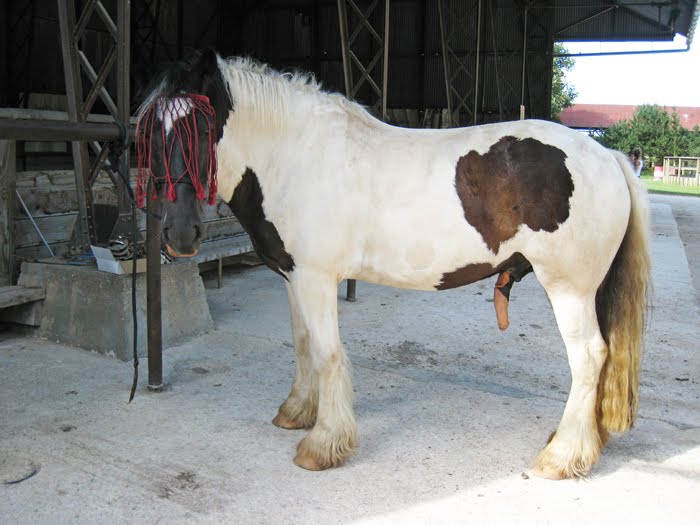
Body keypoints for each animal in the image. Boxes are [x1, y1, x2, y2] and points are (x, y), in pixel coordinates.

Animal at [137, 49, 652, 478]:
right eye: (151, 136)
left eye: (205, 129)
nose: (180, 235)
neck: (294, 155)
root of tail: (607, 156)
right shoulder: (293, 277)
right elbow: (303, 346)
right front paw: (296, 412)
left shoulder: (316, 280)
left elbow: (327, 354)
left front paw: (324, 444)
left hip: (569, 290)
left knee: (589, 357)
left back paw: (561, 456)